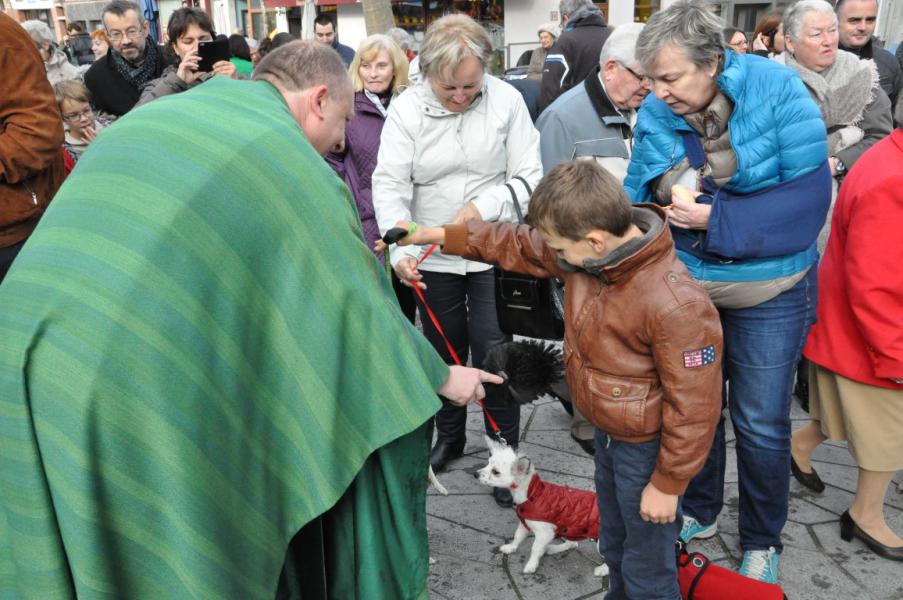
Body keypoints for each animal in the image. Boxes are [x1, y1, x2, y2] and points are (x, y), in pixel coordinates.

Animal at [476, 436, 612, 576]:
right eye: (487, 463)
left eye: (496, 472)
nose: (476, 474)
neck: (532, 494)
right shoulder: (524, 524)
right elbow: (518, 536)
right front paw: (511, 547)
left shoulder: (544, 533)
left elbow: (535, 548)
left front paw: (531, 565)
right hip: (572, 529)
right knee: (573, 544)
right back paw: (552, 548)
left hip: (601, 540)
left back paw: (603, 569)